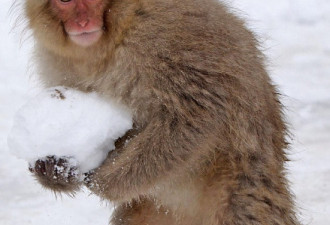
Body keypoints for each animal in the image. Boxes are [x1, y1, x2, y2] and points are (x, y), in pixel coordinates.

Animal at [24, 0, 300, 224]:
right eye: (65, 1)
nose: (81, 22)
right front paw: (53, 170)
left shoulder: (168, 35)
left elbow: (198, 114)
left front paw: (103, 181)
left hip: (241, 189)